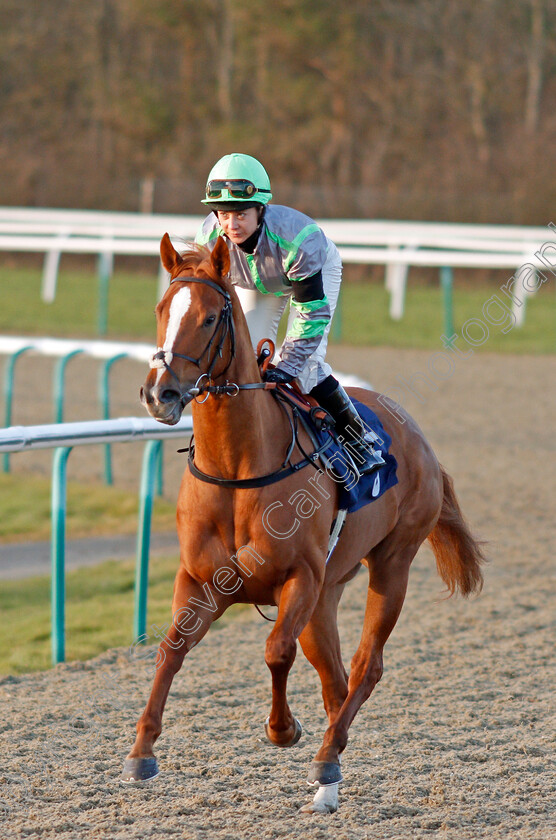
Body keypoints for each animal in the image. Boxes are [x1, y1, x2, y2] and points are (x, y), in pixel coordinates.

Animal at [120, 233, 482, 812]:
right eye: (161, 309)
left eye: (207, 318)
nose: (160, 394)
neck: (239, 467)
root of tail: (417, 436)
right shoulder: (201, 579)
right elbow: (171, 647)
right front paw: (141, 752)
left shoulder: (299, 578)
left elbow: (275, 650)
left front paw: (283, 729)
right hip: (328, 596)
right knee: (335, 678)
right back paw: (329, 780)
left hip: (392, 563)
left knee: (366, 665)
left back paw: (327, 756)